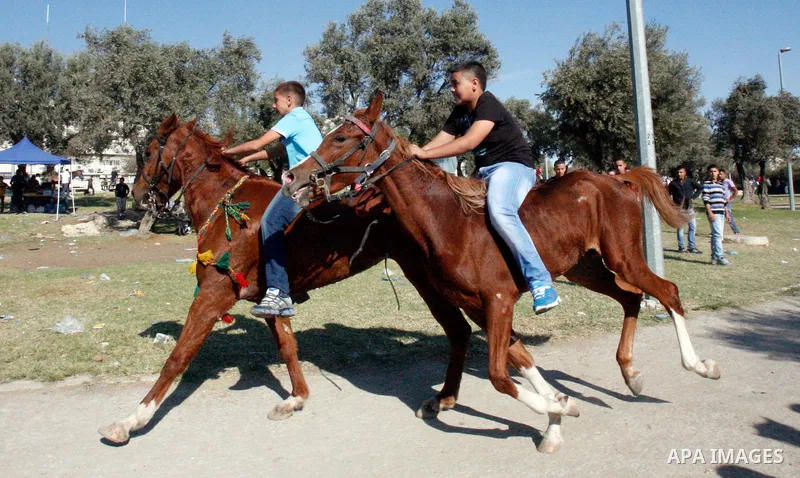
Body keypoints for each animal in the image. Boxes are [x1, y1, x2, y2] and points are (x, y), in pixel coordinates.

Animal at [282, 91, 722, 453]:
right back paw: (631, 373)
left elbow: (499, 374)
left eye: (341, 138)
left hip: (624, 257)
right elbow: (519, 357)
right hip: (587, 269)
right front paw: (557, 411)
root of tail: (619, 179)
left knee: (667, 291)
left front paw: (557, 408)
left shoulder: (498, 301)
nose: (293, 177)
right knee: (631, 298)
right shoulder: (479, 307)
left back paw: (700, 365)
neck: (447, 220)